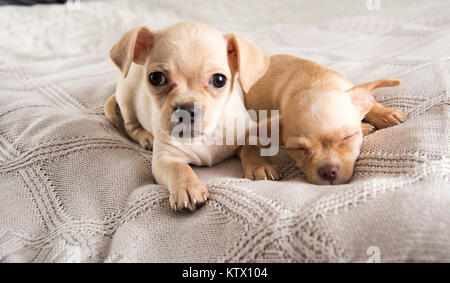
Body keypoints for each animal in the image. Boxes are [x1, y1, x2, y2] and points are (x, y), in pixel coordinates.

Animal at [103, 22, 268, 212]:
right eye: (156, 78)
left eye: (219, 80)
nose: (187, 109)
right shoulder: (165, 157)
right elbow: (179, 168)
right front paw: (188, 188)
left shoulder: (246, 129)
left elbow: (252, 145)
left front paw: (259, 166)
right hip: (126, 97)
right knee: (131, 126)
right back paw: (146, 137)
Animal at [241, 54, 406, 185]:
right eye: (299, 149)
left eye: (348, 137)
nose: (327, 170)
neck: (315, 85)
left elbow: (370, 101)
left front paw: (386, 113)